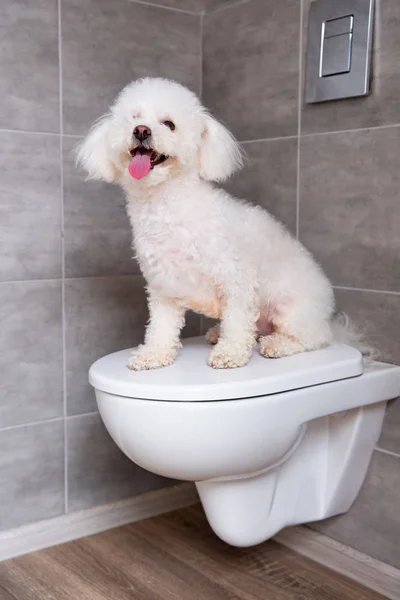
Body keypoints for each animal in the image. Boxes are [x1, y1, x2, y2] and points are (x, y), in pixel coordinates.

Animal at [76, 77, 336, 368]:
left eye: (169, 124)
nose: (141, 131)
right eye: (134, 118)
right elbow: (160, 328)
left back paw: (277, 344)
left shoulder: (237, 280)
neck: (168, 207)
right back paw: (216, 333)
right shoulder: (163, 288)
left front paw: (229, 352)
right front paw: (153, 354)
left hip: (291, 311)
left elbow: (237, 324)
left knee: (312, 339)